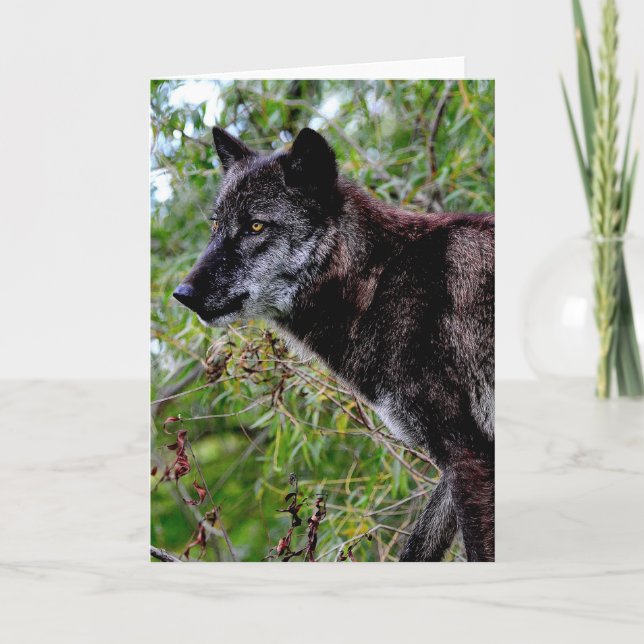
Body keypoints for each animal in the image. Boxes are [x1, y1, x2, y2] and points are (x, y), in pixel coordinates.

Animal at [173, 126, 495, 561]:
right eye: (216, 226)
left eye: (255, 227)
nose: (182, 294)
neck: (380, 281)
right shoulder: (461, 462)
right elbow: (417, 548)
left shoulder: (468, 455)